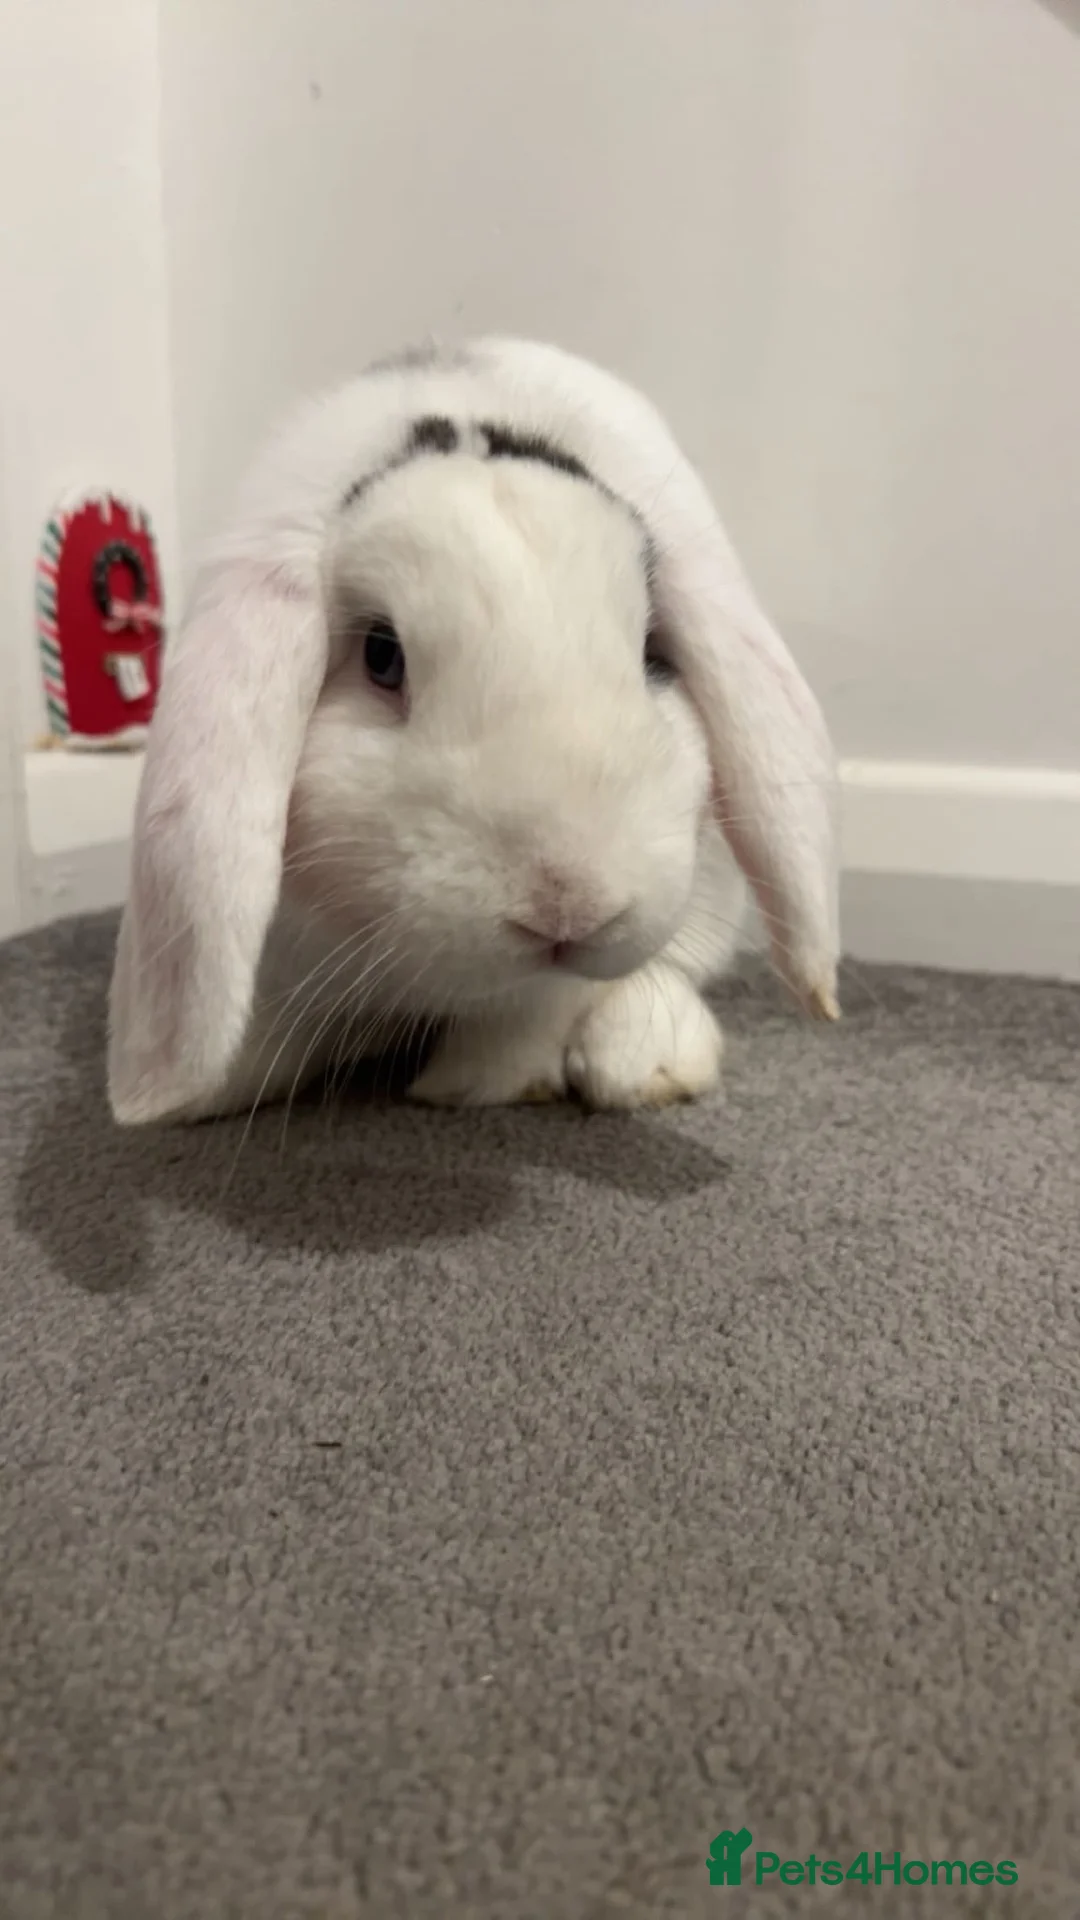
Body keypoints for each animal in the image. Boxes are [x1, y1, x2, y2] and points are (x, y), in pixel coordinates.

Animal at [108, 338, 840, 1126]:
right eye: (382, 655)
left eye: (653, 652)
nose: (570, 905)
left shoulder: (554, 982)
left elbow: (536, 1009)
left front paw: (475, 1083)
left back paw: (650, 1062)